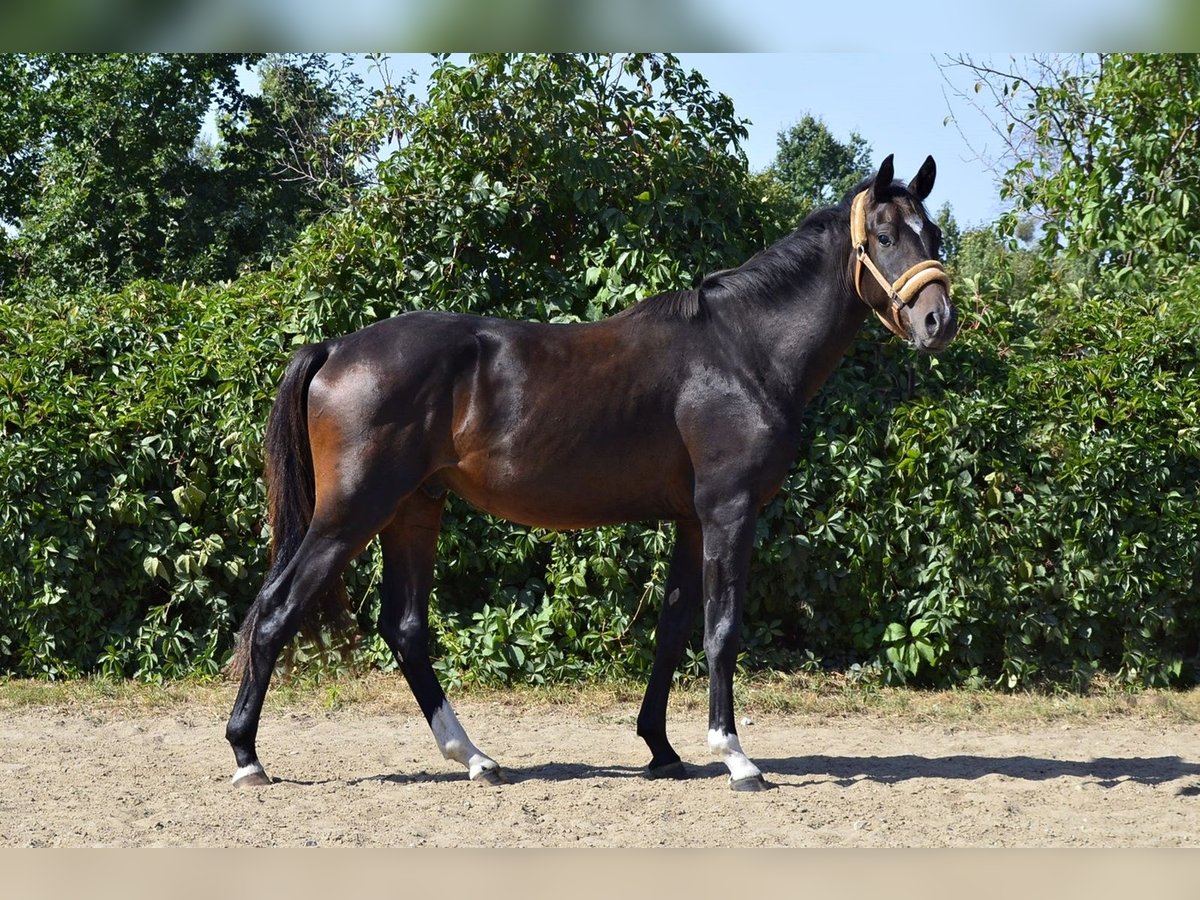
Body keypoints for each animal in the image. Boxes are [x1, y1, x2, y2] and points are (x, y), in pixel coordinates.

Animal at [225, 158, 955, 792]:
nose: (937, 320)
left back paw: (474, 757)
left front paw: (661, 748)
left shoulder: (693, 520)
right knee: (276, 612)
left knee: (403, 628)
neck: (742, 350)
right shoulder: (729, 509)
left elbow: (673, 629)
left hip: (413, 509)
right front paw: (735, 757)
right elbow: (721, 629)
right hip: (351, 512)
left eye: (935, 235)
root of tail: (334, 348)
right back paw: (246, 756)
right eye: (885, 235)